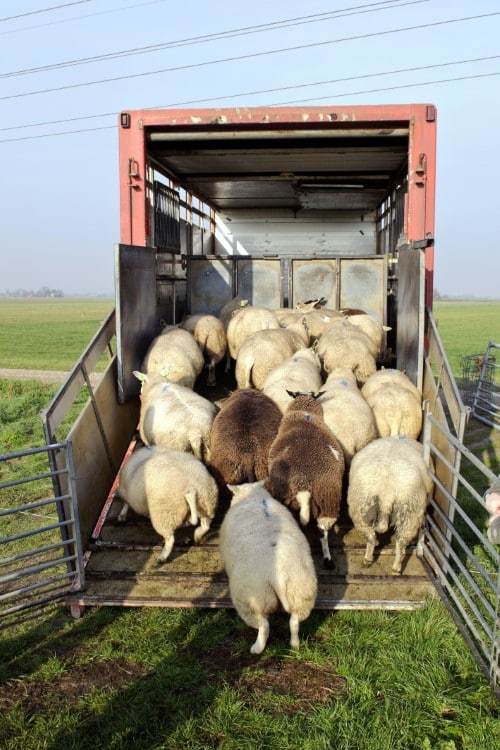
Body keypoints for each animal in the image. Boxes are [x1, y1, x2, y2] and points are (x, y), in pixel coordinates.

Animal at [219, 484, 316, 656]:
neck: (254, 497)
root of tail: (278, 576)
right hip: (301, 593)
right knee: (294, 622)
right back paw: (295, 644)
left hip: (254, 600)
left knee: (264, 626)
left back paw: (257, 648)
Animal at [348, 434, 434, 576]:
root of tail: (386, 492)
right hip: (409, 513)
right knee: (400, 544)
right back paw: (396, 568)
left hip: (362, 508)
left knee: (371, 537)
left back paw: (368, 559)